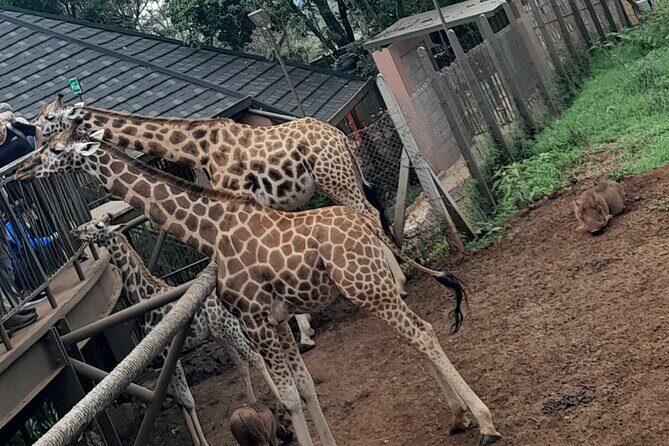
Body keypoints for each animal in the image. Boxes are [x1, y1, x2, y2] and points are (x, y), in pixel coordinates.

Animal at [71, 217, 280, 446]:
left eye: (98, 226)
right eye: (89, 222)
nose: (75, 231)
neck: (145, 296)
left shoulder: (169, 352)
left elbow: (188, 399)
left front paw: (203, 443)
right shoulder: (163, 358)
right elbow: (179, 400)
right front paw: (196, 441)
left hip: (230, 328)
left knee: (256, 357)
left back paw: (279, 400)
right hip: (220, 334)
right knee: (242, 363)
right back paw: (252, 401)